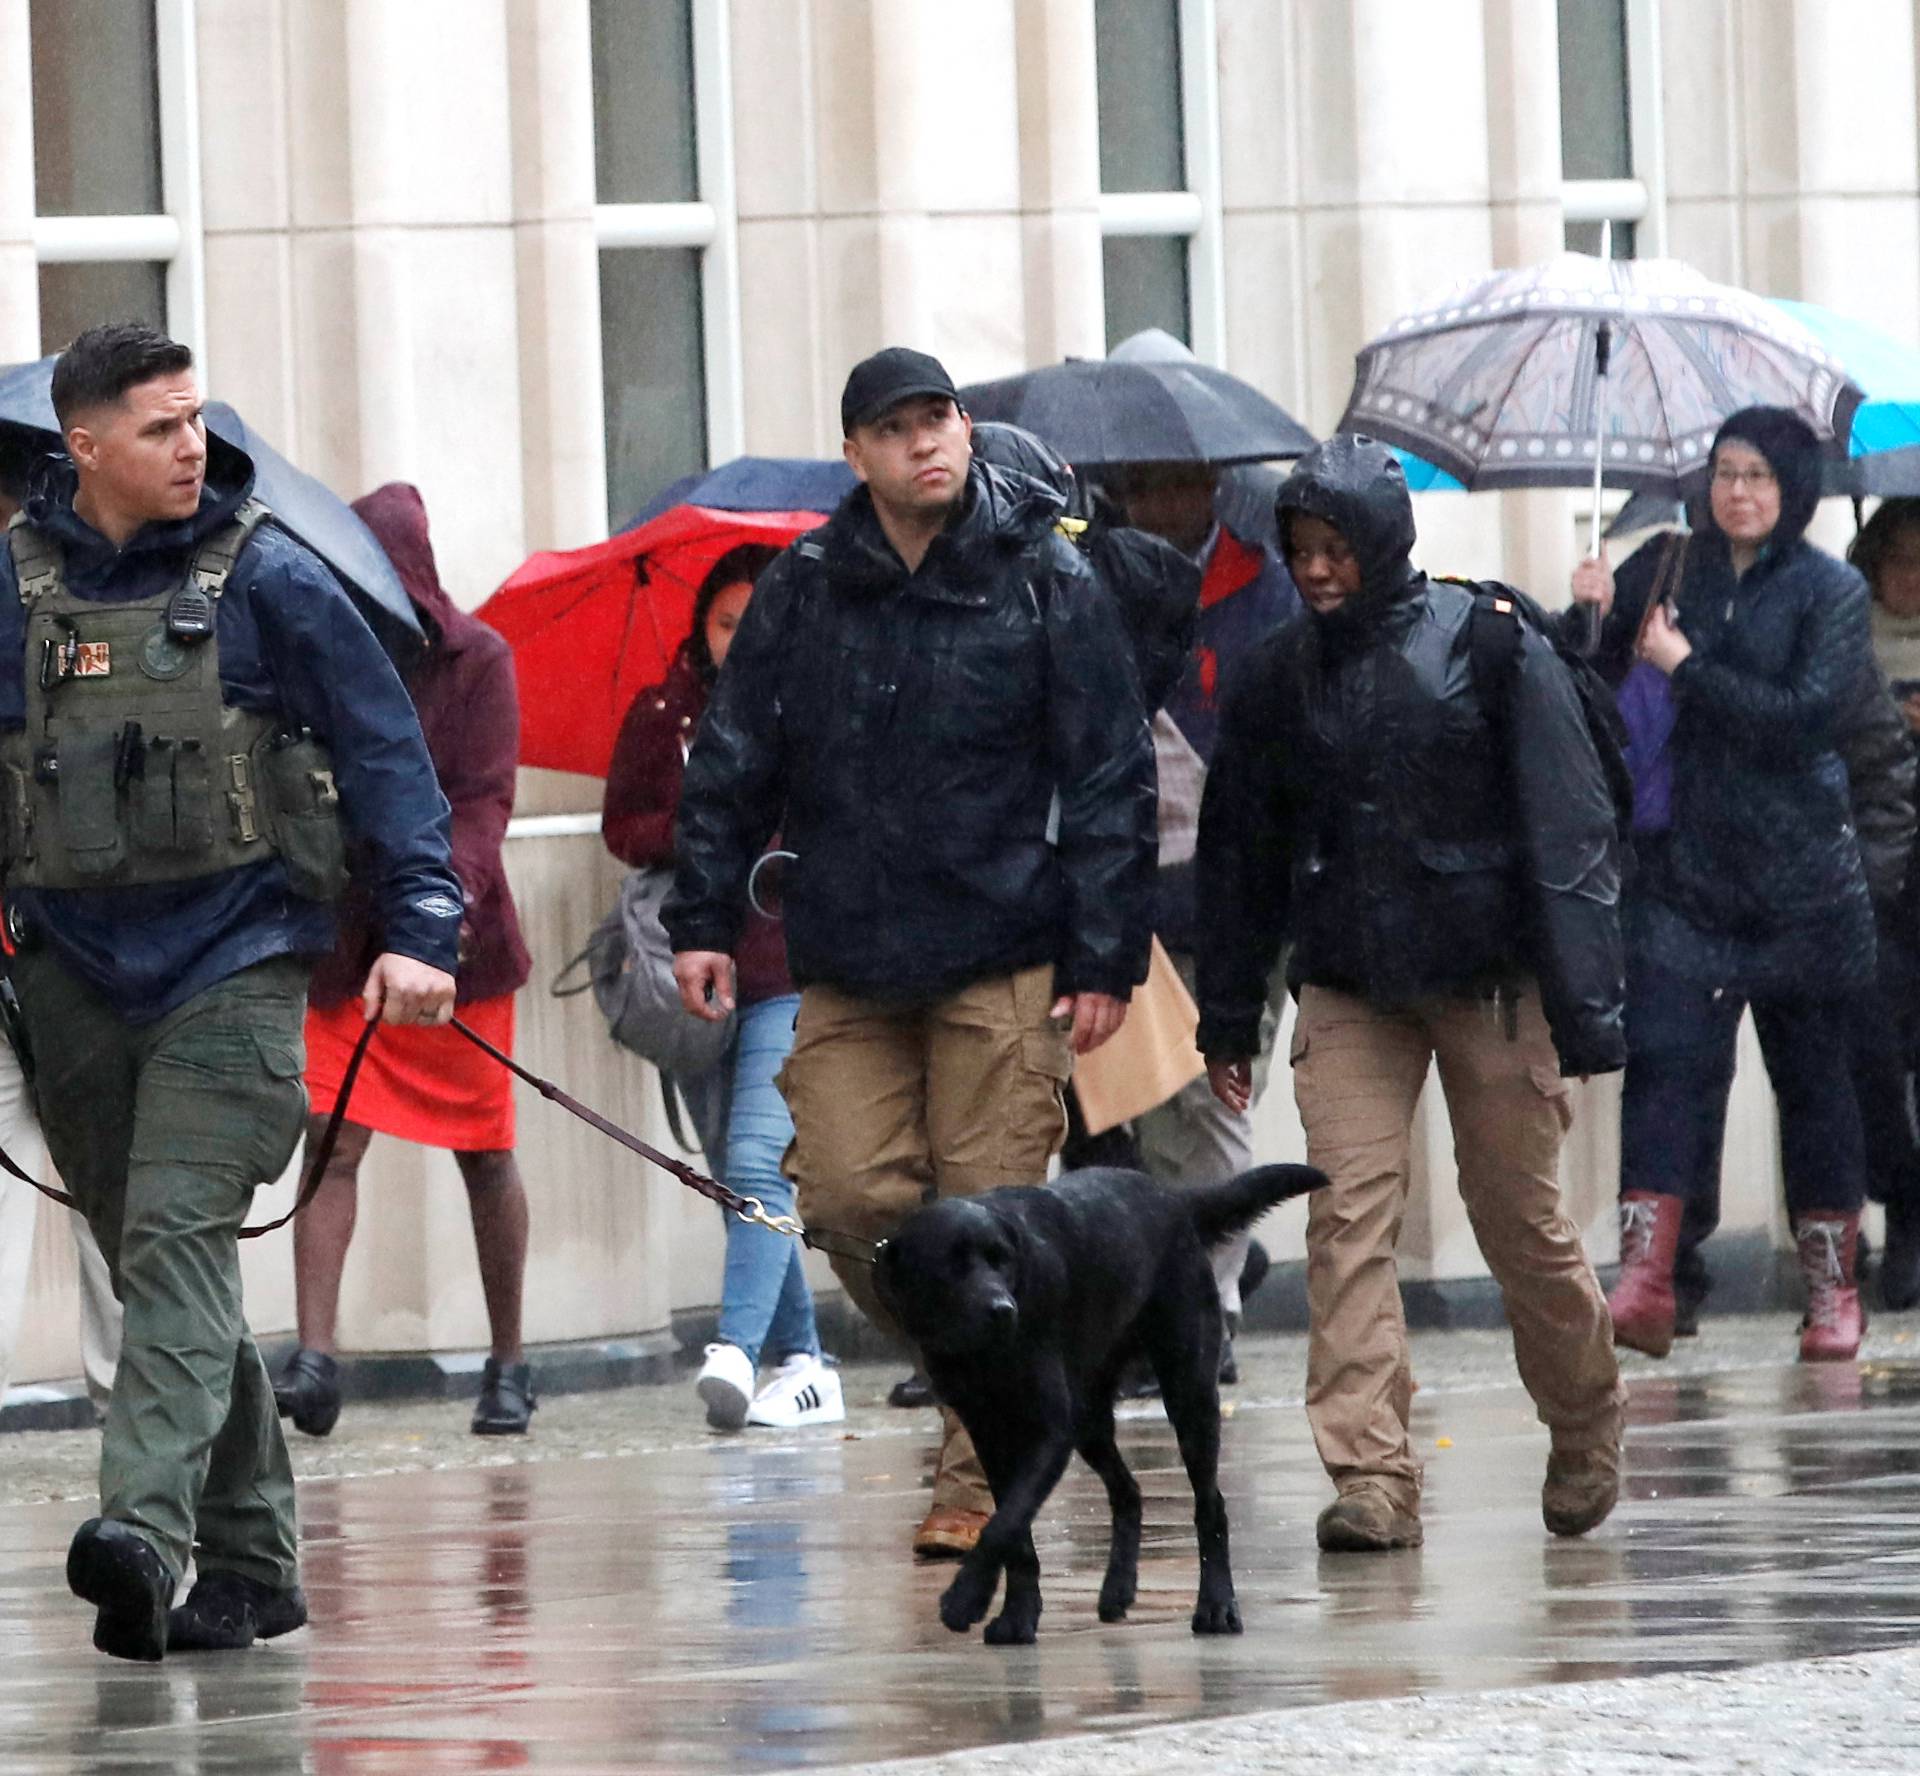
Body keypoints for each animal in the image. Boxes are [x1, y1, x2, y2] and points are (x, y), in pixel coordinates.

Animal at [879, 1159, 1328, 1643]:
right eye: (953, 1265)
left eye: (1002, 1261)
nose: (1004, 1309)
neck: (981, 1354)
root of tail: (1172, 1199)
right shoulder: (989, 1431)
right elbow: (1015, 1532)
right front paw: (1018, 1614)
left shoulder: (1049, 1432)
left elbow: (1004, 1524)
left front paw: (966, 1599)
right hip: (1090, 1420)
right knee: (1129, 1492)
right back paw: (1118, 1589)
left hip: (1188, 1395)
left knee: (1211, 1507)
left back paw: (1216, 1606)